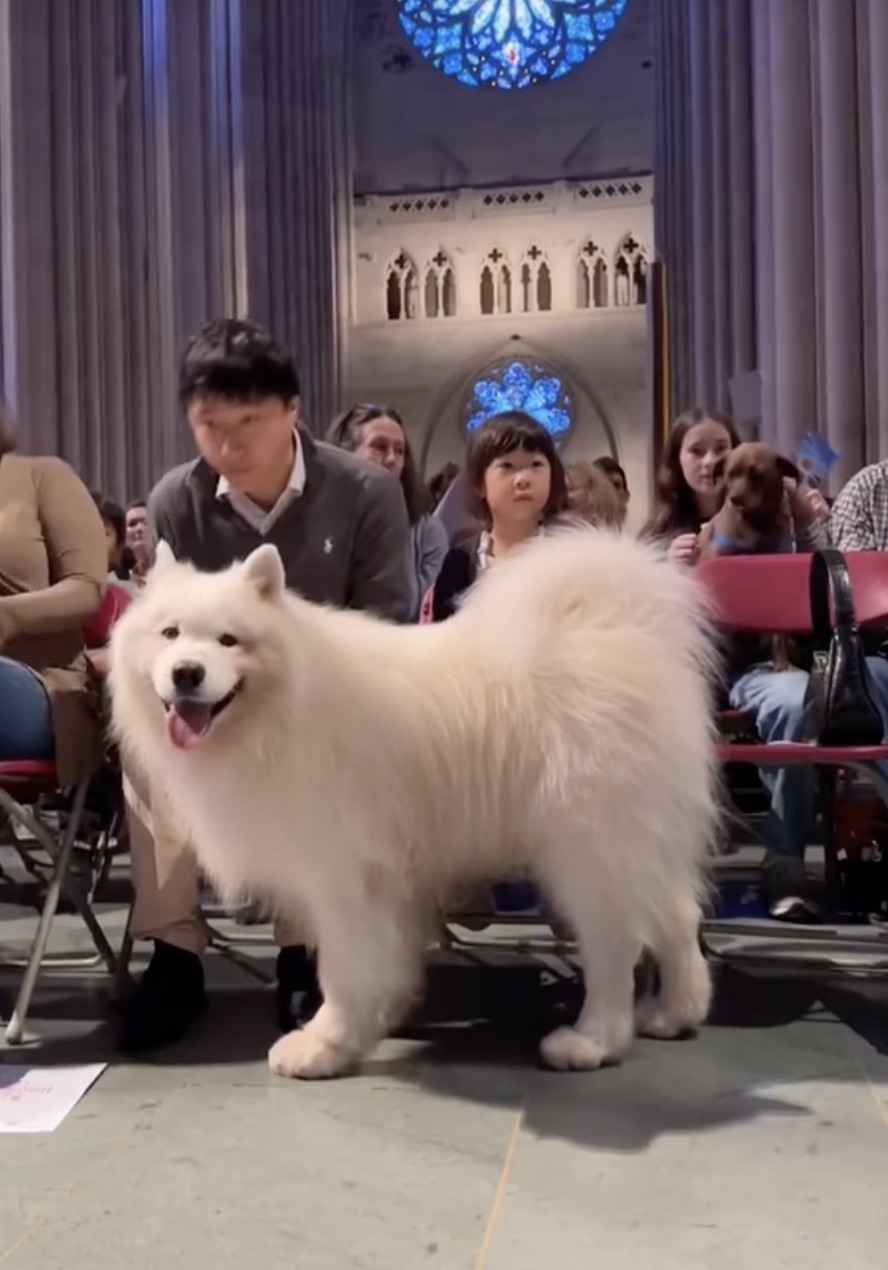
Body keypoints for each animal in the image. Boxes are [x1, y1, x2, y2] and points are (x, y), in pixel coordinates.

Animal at [109, 530, 721, 1076]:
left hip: (588, 850)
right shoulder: (389, 877)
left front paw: (325, 1045)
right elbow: (390, 957)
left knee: (617, 946)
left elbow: (346, 970)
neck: (279, 711)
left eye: (229, 641)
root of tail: (624, 627)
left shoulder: (344, 876)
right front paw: (383, 1017)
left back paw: (591, 1042)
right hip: (635, 841)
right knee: (677, 915)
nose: (187, 673)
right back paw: (674, 1013)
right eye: (170, 633)